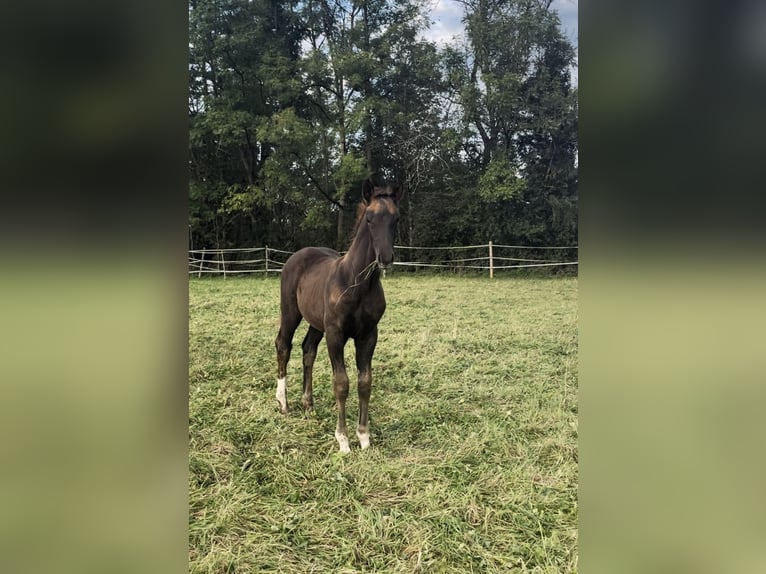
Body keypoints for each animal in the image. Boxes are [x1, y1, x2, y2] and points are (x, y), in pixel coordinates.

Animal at [276, 180, 402, 454]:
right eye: (369, 218)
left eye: (396, 218)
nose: (386, 258)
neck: (357, 282)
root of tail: (297, 255)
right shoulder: (336, 334)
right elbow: (341, 383)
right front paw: (343, 439)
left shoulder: (368, 335)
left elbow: (365, 382)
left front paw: (363, 437)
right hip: (290, 311)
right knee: (283, 345)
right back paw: (283, 403)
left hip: (316, 322)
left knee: (308, 349)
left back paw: (308, 404)